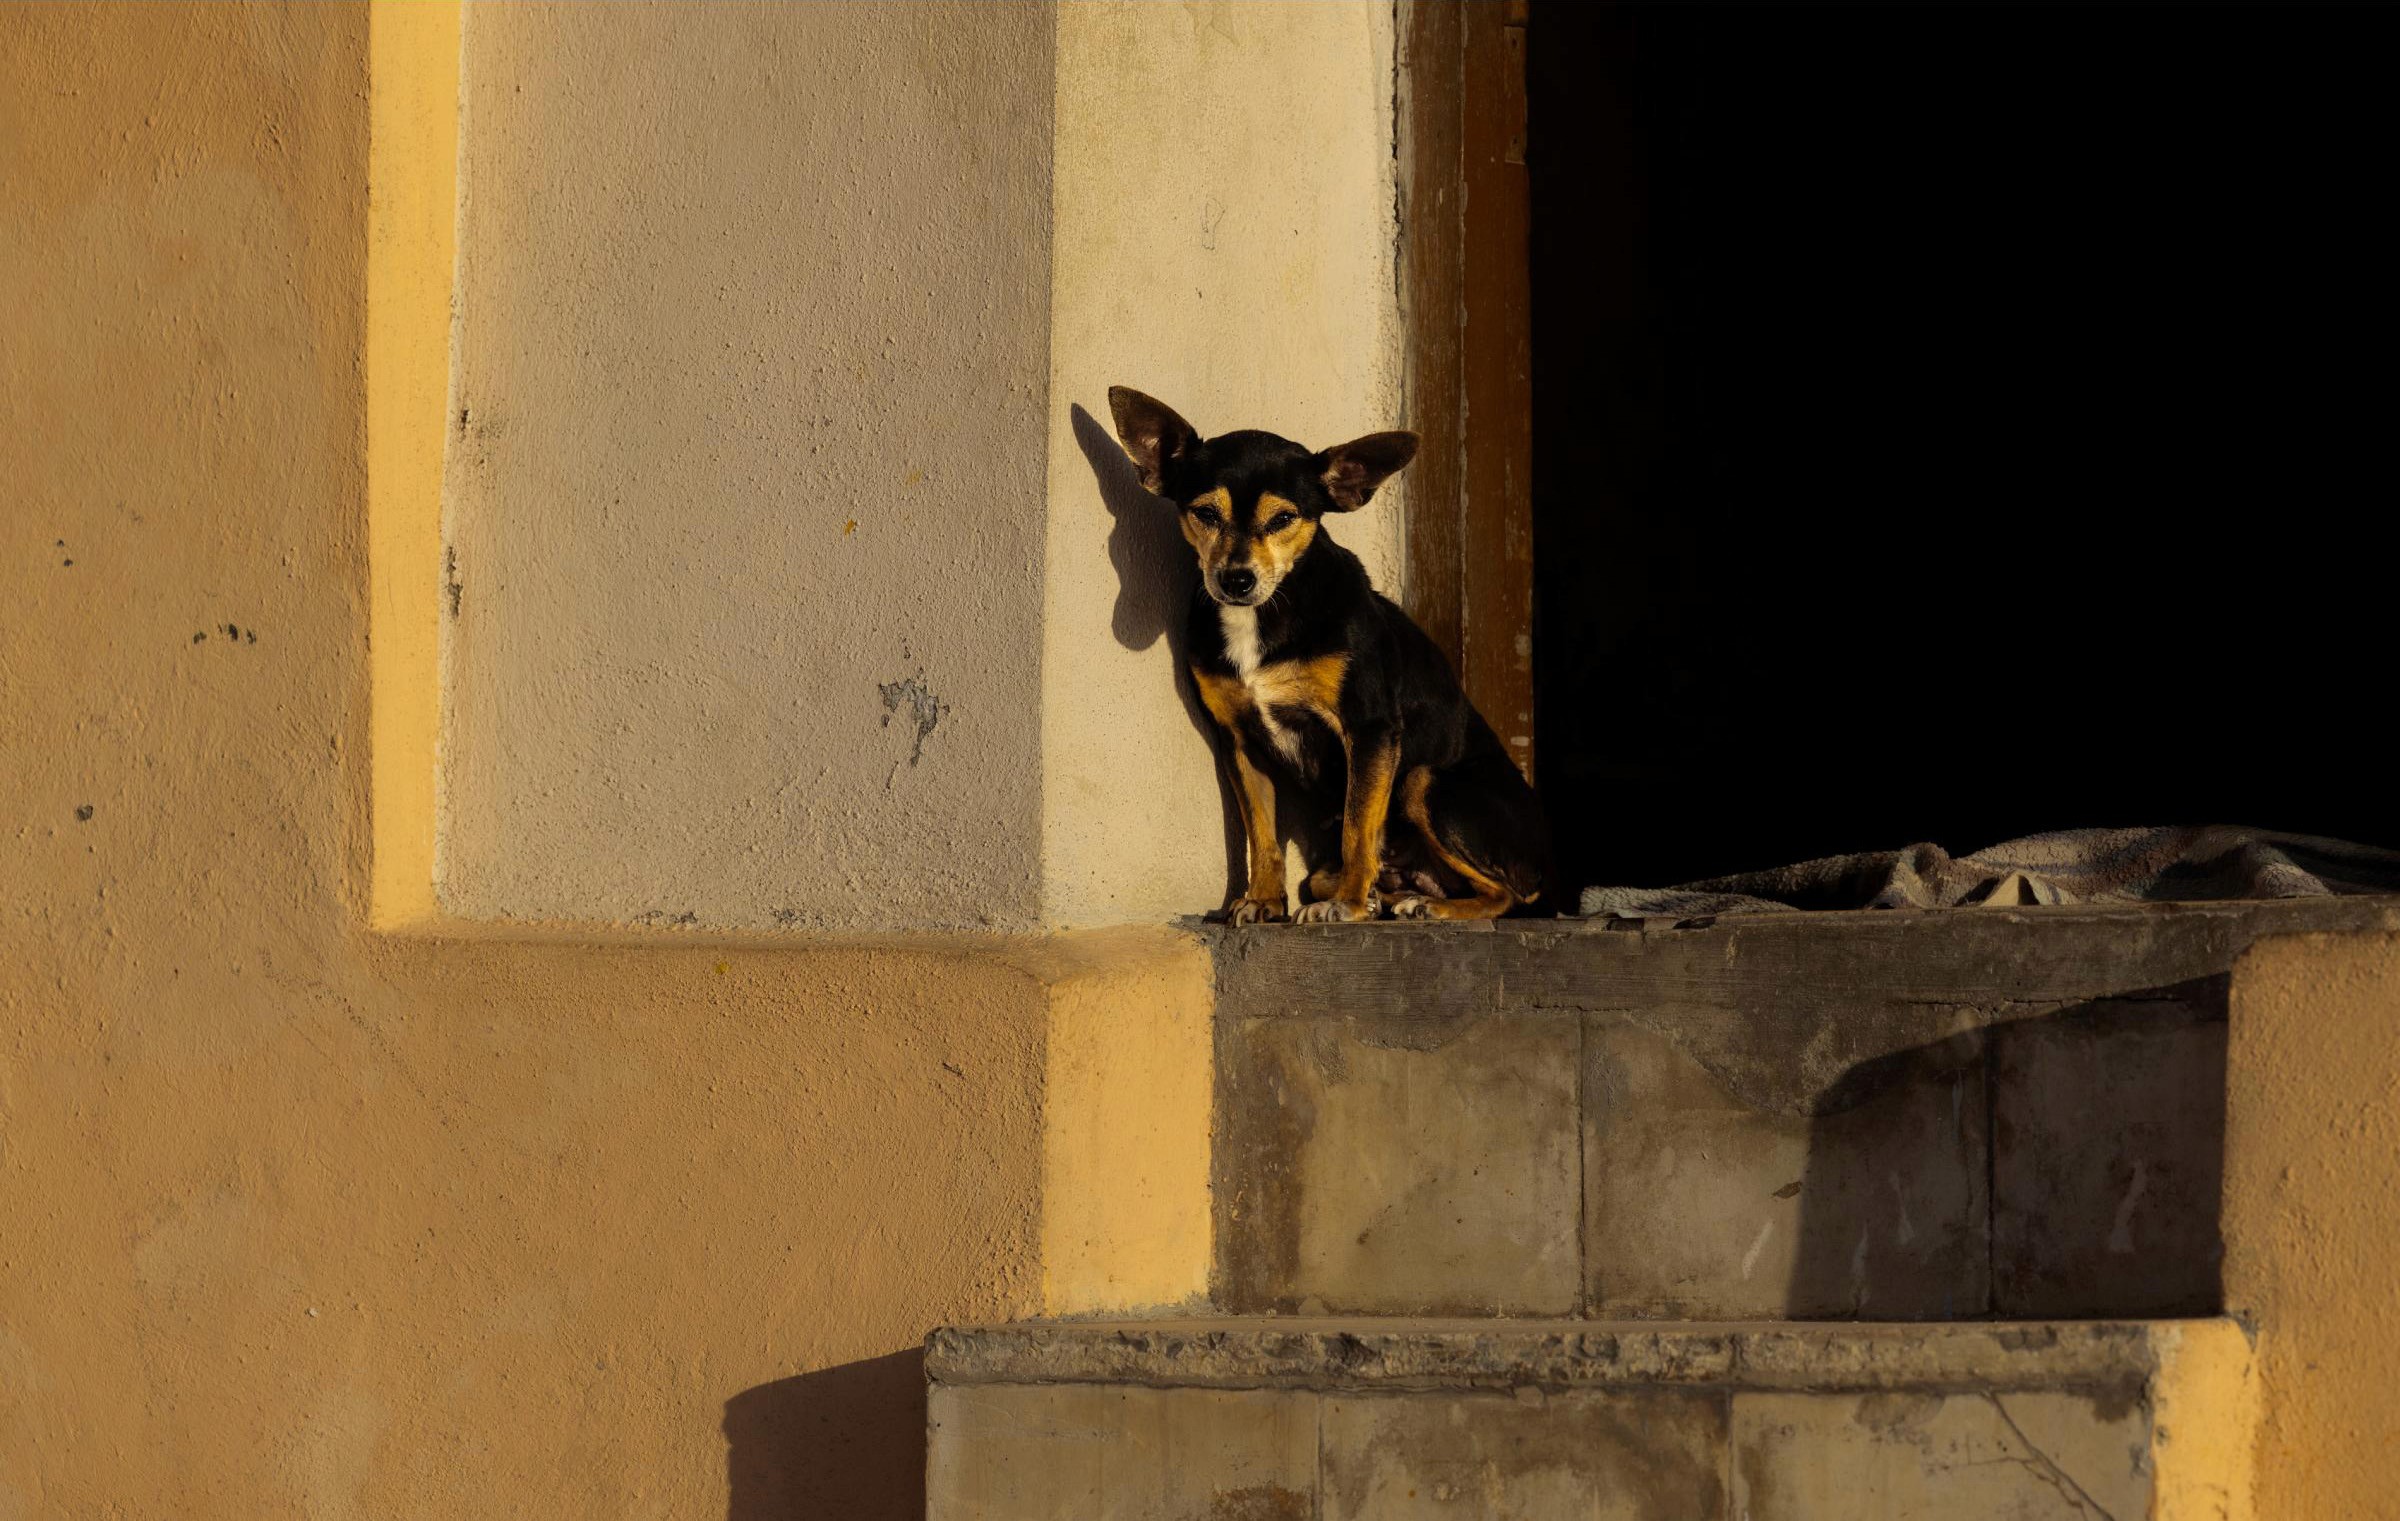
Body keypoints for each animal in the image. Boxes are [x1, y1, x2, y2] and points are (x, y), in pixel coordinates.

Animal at [1108, 383, 1545, 916]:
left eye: (1284, 518)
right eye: (1206, 513)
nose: (1236, 579)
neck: (1269, 612)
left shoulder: (1370, 728)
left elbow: (1358, 830)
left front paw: (1350, 906)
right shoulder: (1240, 741)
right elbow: (1263, 836)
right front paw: (1264, 900)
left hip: (1425, 781)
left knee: (1509, 893)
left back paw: (1429, 907)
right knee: (1333, 875)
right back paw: (1391, 897)